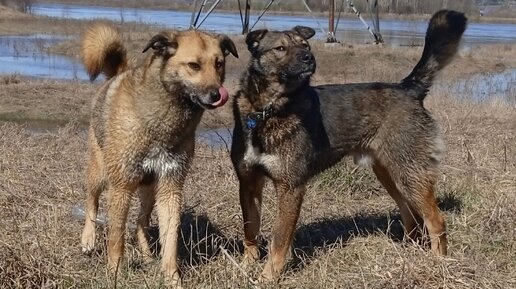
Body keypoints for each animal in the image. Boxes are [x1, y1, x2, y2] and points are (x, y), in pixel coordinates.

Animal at [80, 24, 238, 286]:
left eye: (219, 64)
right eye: (194, 65)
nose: (218, 95)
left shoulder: (170, 186)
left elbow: (170, 239)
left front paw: (173, 278)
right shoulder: (121, 187)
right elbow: (116, 236)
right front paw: (115, 272)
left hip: (149, 188)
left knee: (141, 222)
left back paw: (146, 256)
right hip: (100, 173)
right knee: (92, 203)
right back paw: (88, 239)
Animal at [230, 10, 468, 280]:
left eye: (305, 46)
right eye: (280, 48)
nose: (309, 58)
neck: (266, 112)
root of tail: (408, 89)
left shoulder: (291, 187)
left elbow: (279, 241)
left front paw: (268, 276)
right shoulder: (248, 183)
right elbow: (250, 230)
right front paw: (246, 265)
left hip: (410, 174)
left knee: (436, 221)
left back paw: (438, 263)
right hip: (389, 175)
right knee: (411, 215)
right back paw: (407, 252)